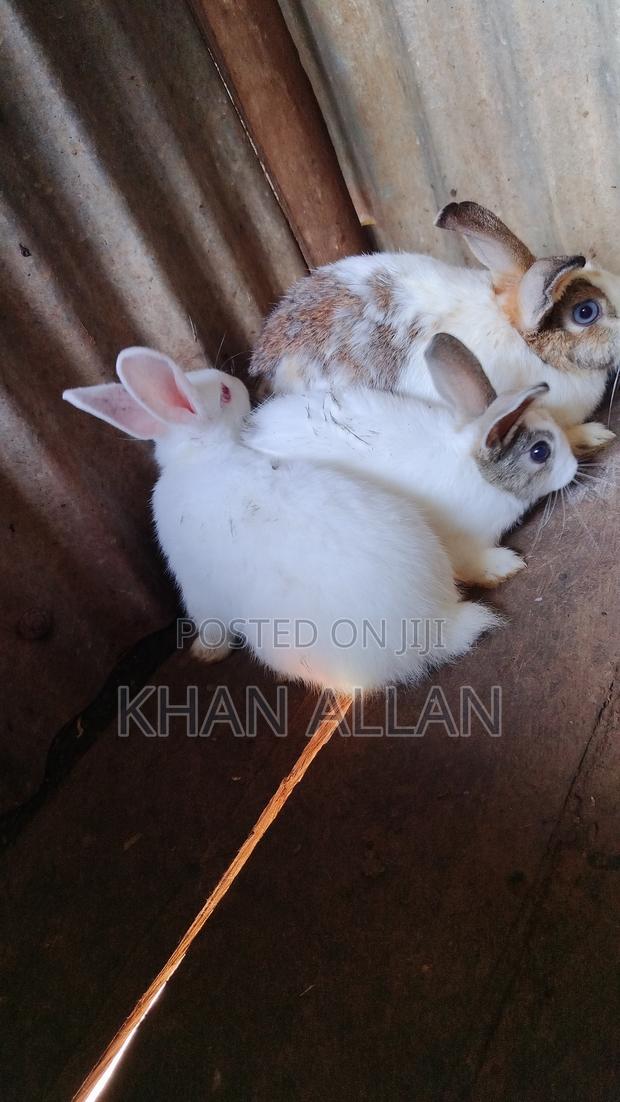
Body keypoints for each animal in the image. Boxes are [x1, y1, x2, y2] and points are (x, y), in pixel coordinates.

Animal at [62, 348, 501, 693]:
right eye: (224, 394)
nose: (236, 383)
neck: (201, 457)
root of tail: (439, 624)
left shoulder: (198, 591)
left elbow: (211, 626)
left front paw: (205, 653)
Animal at [245, 333, 579, 589]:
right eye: (540, 452)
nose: (574, 467)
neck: (477, 471)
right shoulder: (463, 541)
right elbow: (472, 563)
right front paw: (506, 566)